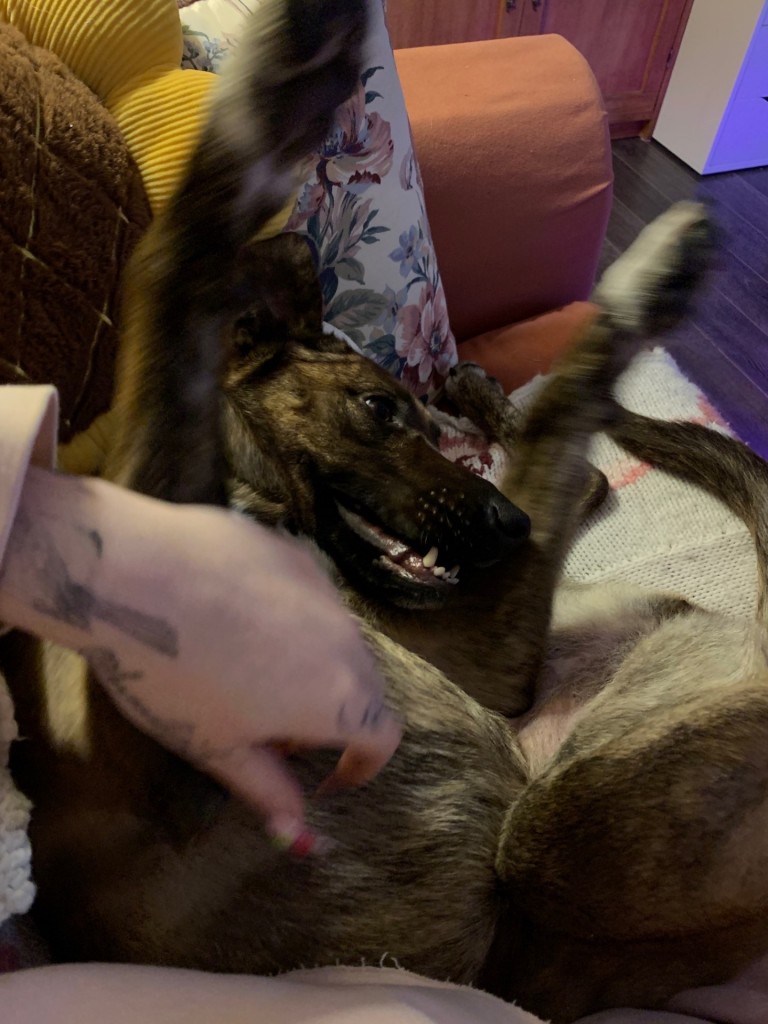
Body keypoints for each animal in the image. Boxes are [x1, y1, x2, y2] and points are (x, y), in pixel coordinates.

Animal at [5, 2, 768, 1021]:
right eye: (375, 408)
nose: (503, 532)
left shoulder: (481, 653)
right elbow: (167, 280)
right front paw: (276, 92)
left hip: (558, 793)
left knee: (572, 464)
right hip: (556, 812)